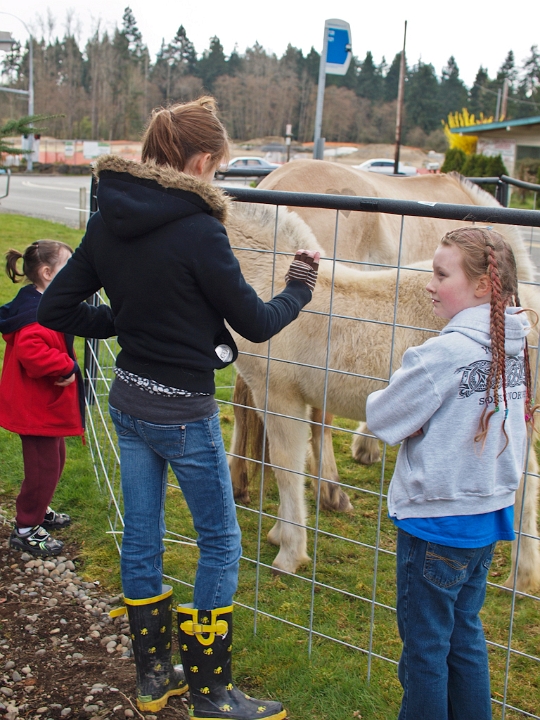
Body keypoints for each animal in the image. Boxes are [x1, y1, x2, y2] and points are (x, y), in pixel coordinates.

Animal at [226, 200, 540, 592]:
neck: (267, 280)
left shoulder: (280, 395)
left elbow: (286, 466)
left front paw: (289, 554)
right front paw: (280, 534)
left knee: (524, 485)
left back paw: (520, 578)